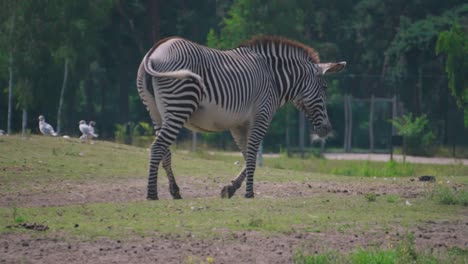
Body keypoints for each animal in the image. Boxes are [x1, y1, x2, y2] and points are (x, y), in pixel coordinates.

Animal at [137, 35, 346, 200]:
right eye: (325, 88)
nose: (327, 129)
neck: (273, 79)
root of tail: (155, 51)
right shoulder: (261, 116)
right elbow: (252, 155)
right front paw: (249, 193)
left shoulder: (238, 124)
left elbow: (247, 156)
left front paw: (230, 188)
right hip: (179, 105)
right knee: (157, 147)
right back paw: (152, 194)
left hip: (156, 113)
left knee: (165, 151)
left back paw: (175, 191)